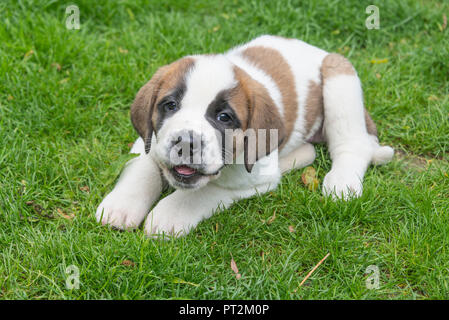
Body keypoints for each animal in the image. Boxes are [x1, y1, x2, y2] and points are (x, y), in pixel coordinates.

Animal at [94, 35, 392, 236]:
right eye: (170, 105)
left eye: (224, 117)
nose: (187, 144)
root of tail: (319, 51)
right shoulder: (149, 138)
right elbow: (143, 164)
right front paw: (122, 204)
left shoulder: (250, 174)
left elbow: (207, 190)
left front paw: (168, 214)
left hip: (338, 72)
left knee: (353, 144)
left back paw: (342, 182)